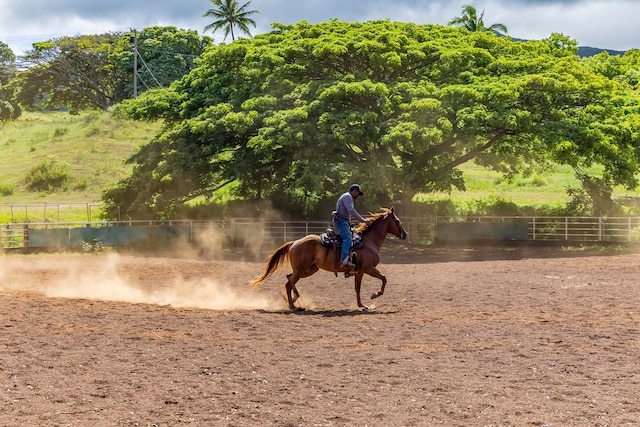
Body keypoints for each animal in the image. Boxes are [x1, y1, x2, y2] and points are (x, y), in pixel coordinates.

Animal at [248, 208, 408, 310]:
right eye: (398, 221)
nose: (405, 234)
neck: (368, 241)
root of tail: (294, 243)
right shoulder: (368, 268)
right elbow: (384, 278)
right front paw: (375, 295)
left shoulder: (360, 271)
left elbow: (357, 288)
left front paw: (362, 305)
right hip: (301, 270)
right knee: (288, 283)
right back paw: (293, 306)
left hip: (309, 270)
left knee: (289, 278)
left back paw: (294, 299)